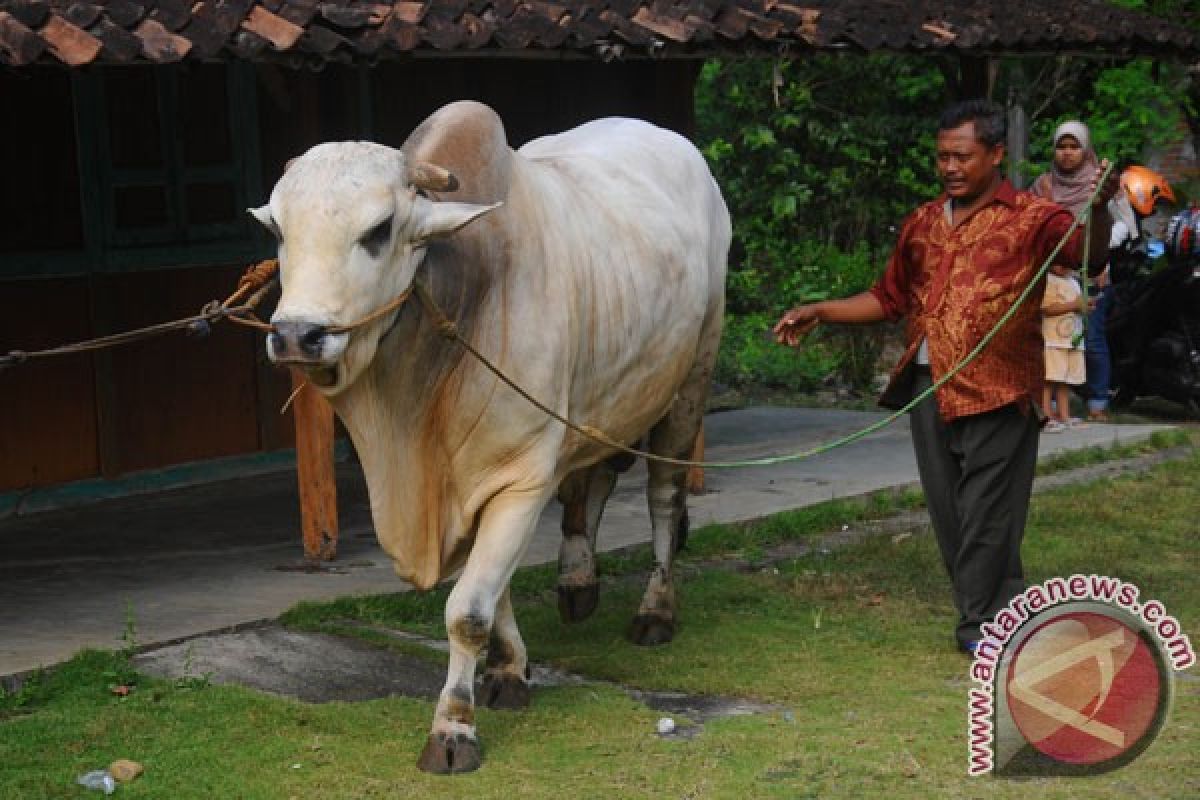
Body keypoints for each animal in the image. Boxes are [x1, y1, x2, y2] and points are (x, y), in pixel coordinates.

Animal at [253, 100, 729, 767]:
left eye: (379, 229)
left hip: (690, 383)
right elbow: (493, 590)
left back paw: (655, 610)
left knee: (664, 499)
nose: (297, 335)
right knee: (589, 486)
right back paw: (577, 580)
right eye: (279, 230)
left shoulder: (519, 477)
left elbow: (469, 610)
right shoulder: (471, 488)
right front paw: (509, 670)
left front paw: (453, 728)